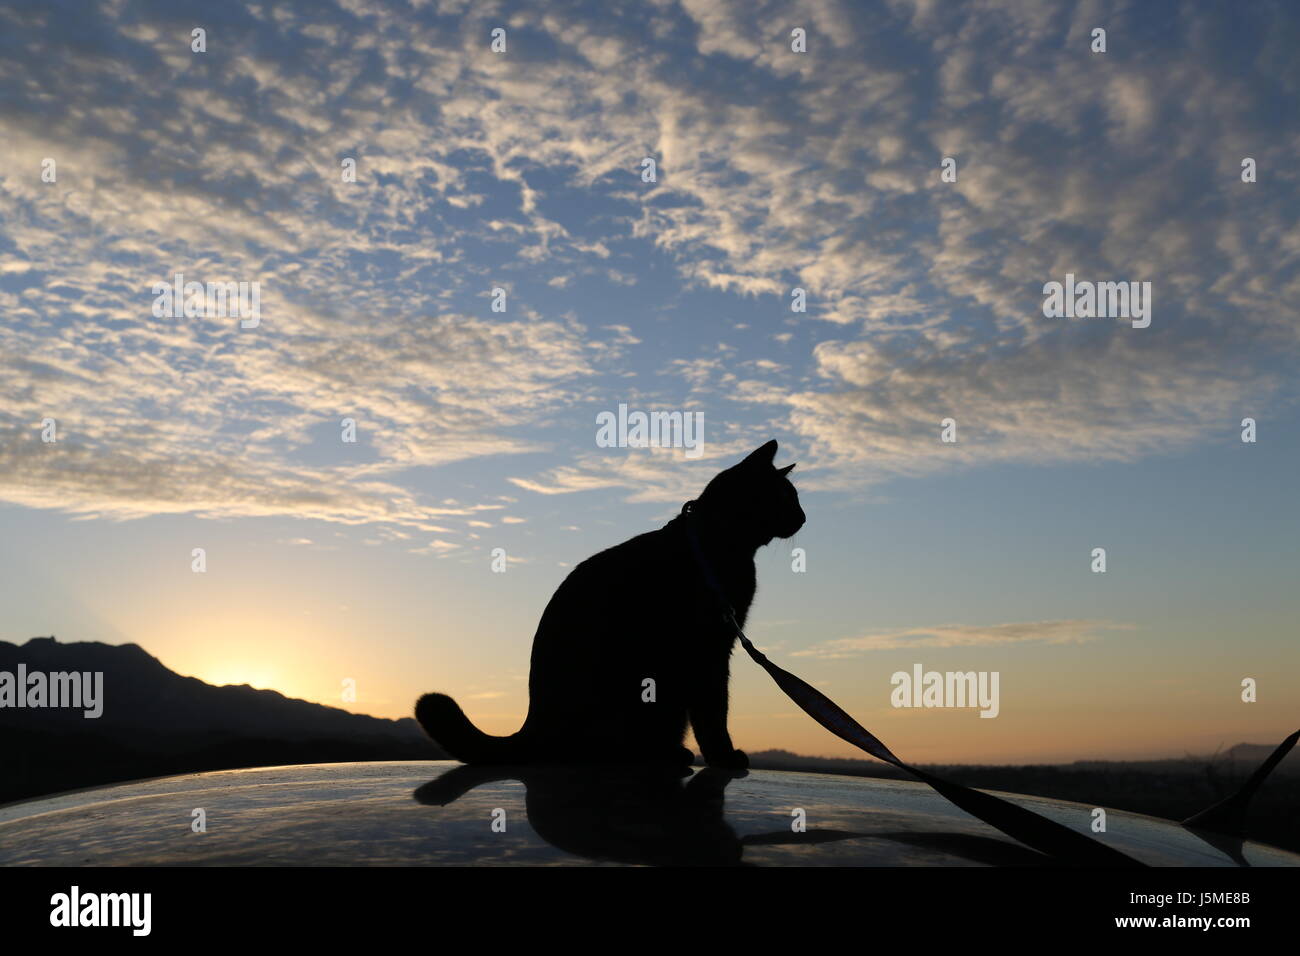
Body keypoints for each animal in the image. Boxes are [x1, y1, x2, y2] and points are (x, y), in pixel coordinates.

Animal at [416, 442, 800, 770]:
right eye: (787, 497)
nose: (804, 516)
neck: (720, 545)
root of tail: (531, 727)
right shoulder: (710, 650)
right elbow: (713, 712)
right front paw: (724, 756)